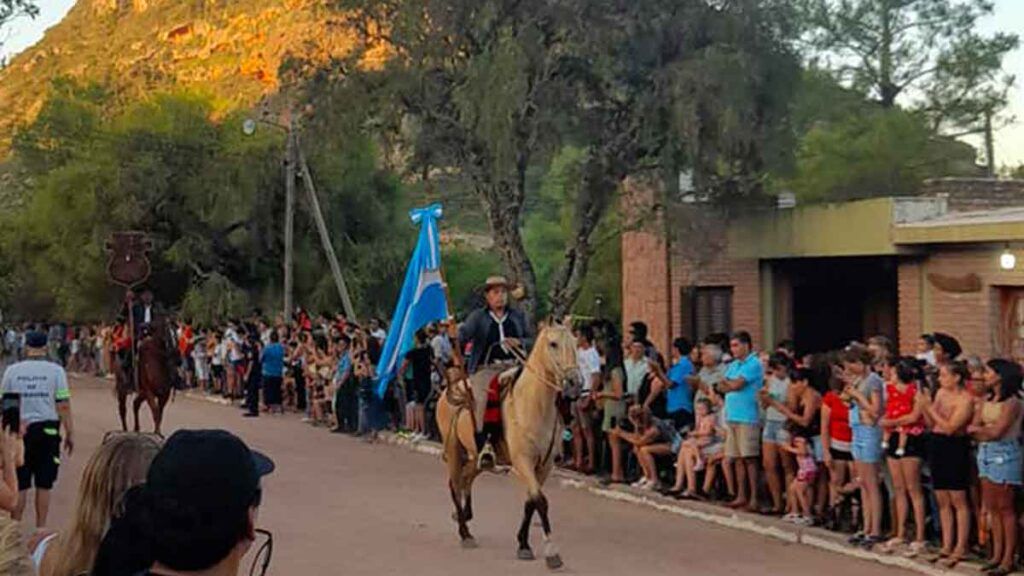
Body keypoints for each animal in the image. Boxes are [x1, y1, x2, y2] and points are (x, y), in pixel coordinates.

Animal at [432, 319, 577, 565]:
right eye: (553, 344)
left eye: (575, 342)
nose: (575, 382)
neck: (534, 406)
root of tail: (450, 389)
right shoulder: (523, 461)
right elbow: (540, 500)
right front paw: (551, 552)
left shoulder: (545, 465)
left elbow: (530, 502)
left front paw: (523, 543)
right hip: (453, 449)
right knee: (454, 484)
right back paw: (465, 533)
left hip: (476, 455)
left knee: (466, 478)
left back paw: (464, 516)